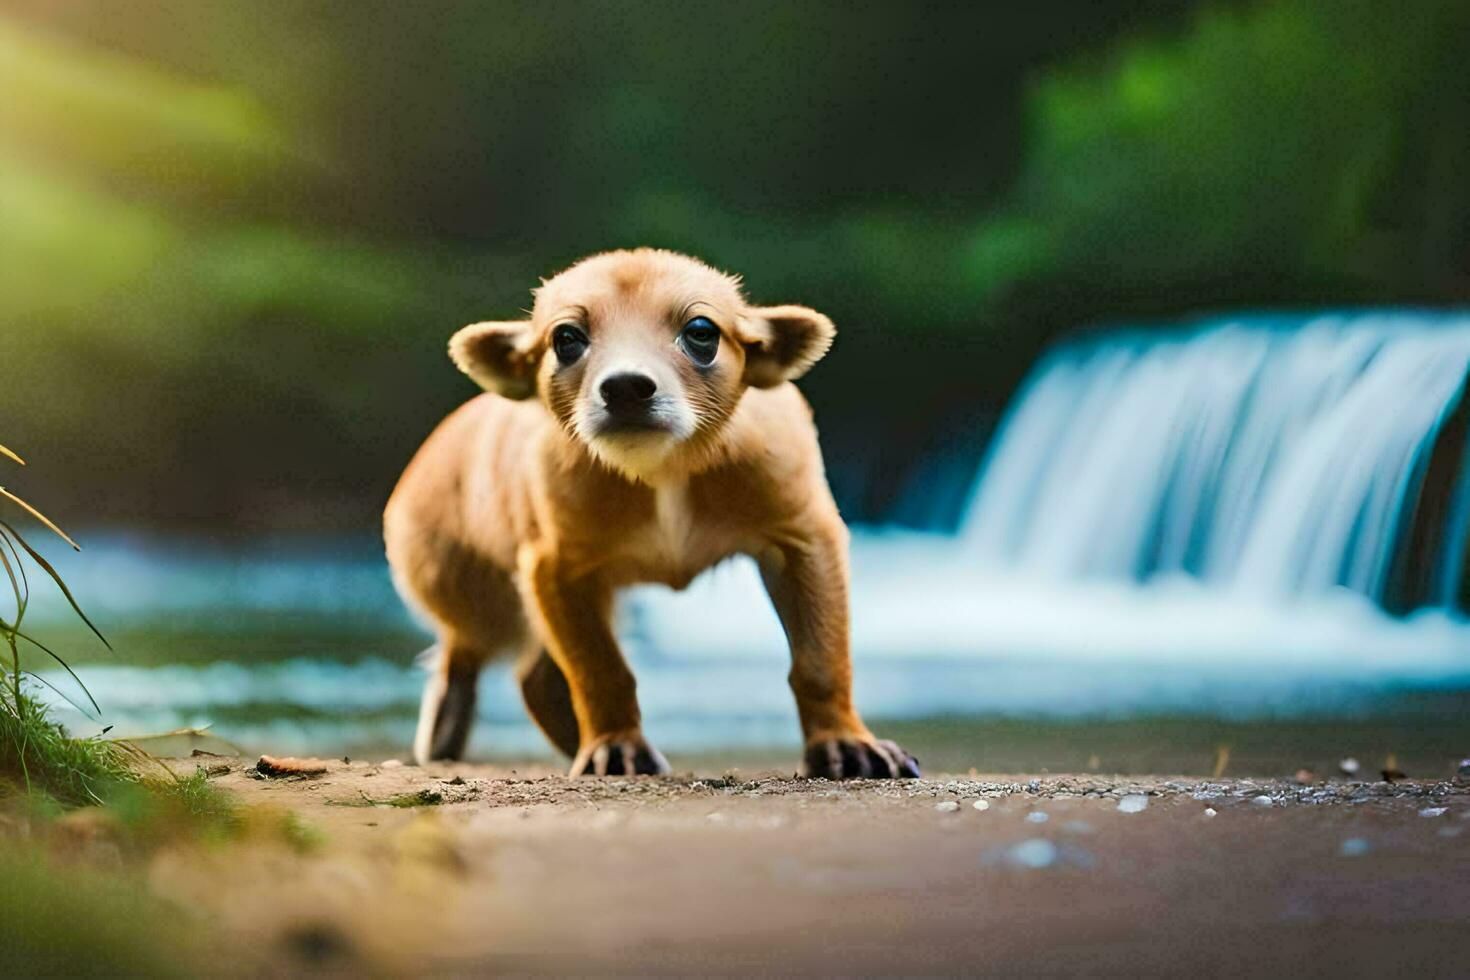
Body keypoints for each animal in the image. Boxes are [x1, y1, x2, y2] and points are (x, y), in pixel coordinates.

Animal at [388, 246, 917, 781]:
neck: (663, 470)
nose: (625, 387)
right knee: (466, 656)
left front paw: (843, 743)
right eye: (566, 339)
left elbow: (820, 660)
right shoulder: (557, 570)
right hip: (474, 595)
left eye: (701, 332)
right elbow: (601, 670)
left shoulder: (804, 541)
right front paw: (616, 746)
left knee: (534, 677)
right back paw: (447, 733)